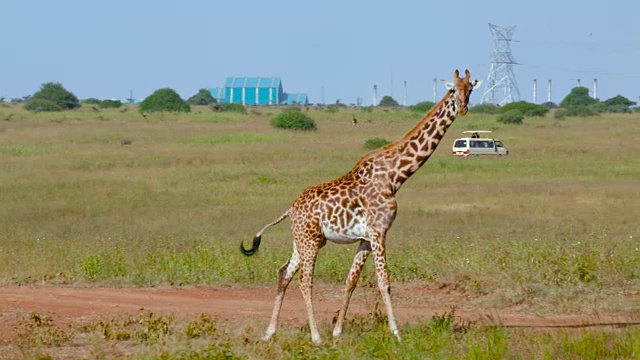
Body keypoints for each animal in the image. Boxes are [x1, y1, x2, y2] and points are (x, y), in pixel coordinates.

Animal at [242, 69, 482, 344]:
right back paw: (316, 336)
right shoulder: (379, 231)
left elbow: (351, 281)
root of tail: (291, 209)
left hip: (304, 240)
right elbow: (384, 282)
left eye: (470, 90)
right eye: (452, 89)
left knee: (284, 273)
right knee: (304, 280)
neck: (395, 175)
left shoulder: (366, 238)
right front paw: (397, 334)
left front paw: (338, 331)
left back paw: (269, 332)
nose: (462, 108)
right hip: (310, 242)